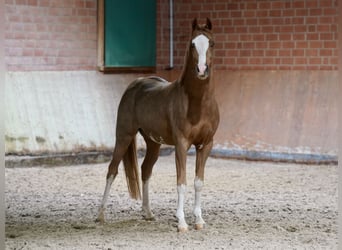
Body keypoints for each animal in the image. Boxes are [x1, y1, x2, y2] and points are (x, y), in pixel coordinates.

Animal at [96, 17, 219, 232]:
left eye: (211, 43)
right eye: (192, 44)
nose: (202, 70)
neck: (198, 103)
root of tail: (136, 84)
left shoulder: (206, 144)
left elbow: (198, 182)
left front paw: (199, 220)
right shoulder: (181, 144)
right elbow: (182, 182)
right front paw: (182, 222)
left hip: (153, 143)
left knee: (145, 170)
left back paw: (148, 213)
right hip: (123, 136)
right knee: (112, 170)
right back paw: (101, 215)